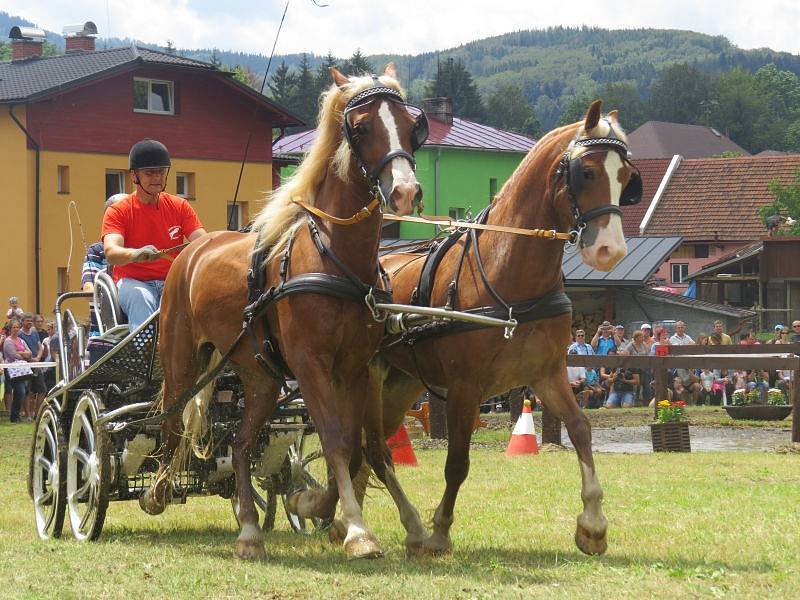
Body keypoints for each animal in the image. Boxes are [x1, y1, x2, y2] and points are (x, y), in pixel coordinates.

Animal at [147, 64, 428, 556]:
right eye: (361, 128)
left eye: (413, 127)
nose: (405, 191)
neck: (334, 256)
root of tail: (193, 249)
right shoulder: (311, 363)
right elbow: (335, 439)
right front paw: (356, 530)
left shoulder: (356, 367)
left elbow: (357, 445)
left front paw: (315, 504)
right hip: (180, 358)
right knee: (173, 420)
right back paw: (159, 490)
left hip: (261, 375)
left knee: (241, 445)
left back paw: (248, 529)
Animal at [360, 101, 640, 556]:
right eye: (587, 172)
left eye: (626, 178)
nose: (609, 250)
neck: (506, 274)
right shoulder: (464, 387)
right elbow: (457, 462)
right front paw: (440, 530)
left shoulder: (547, 374)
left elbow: (580, 430)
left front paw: (593, 525)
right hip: (366, 379)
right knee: (371, 450)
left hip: (402, 384)